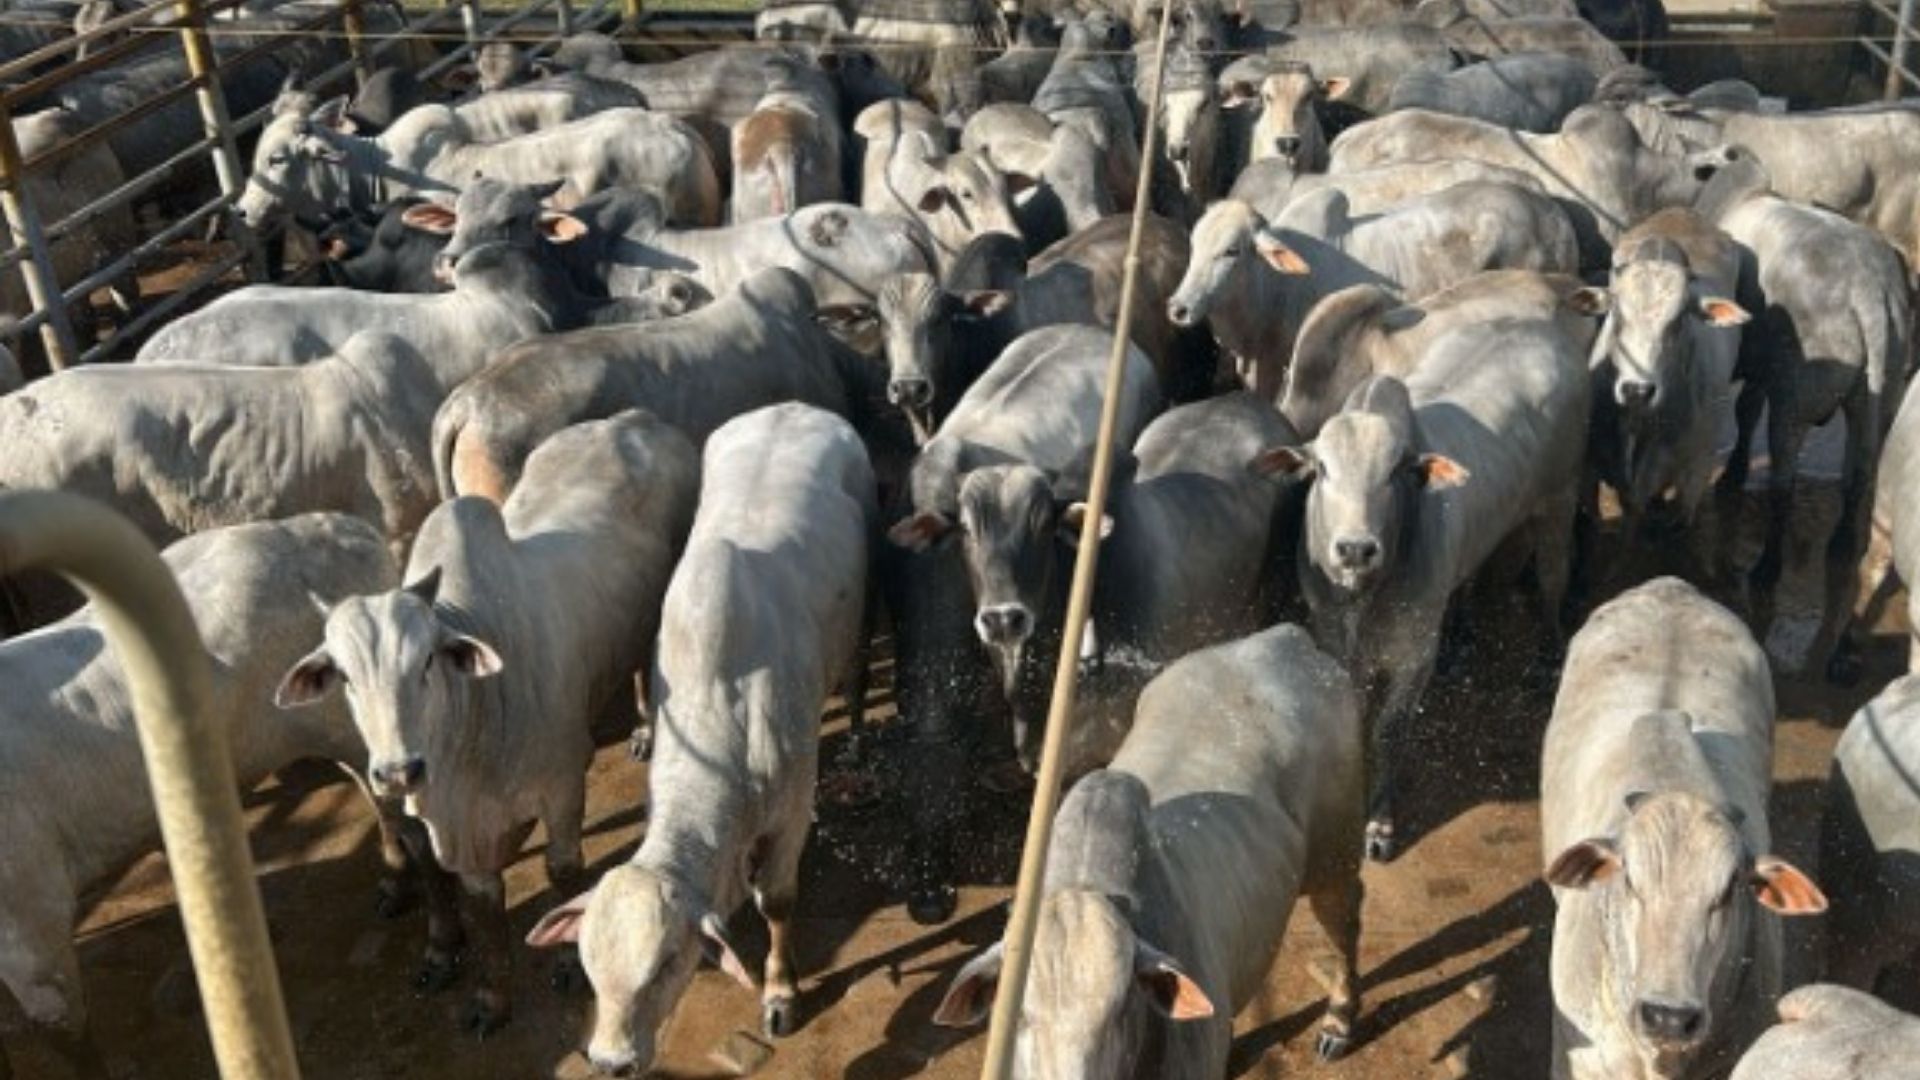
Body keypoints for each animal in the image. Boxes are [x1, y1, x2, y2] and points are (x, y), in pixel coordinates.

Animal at [275, 411, 701, 1036]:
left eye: (427, 661)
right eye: (344, 677)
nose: (399, 772)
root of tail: (637, 419)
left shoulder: (563, 784)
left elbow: (564, 873)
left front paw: (570, 966)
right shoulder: (461, 830)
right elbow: (483, 906)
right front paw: (491, 998)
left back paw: (649, 731)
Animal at [524, 404, 875, 1073]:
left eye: (665, 964)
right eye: (588, 963)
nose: (610, 1061)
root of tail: (792, 407)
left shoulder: (791, 812)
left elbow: (777, 903)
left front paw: (780, 993)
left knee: (860, 676)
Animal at [932, 623, 1366, 1075]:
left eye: (1121, 1007)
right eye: (1016, 1015)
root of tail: (1285, 637)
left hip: (1335, 859)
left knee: (1345, 922)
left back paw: (1338, 1022)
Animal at [1251, 316, 1590, 860]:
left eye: (1395, 472)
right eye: (1321, 469)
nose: (1355, 549)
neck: (1365, 597)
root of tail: (1541, 327)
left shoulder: (1412, 654)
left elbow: (1388, 731)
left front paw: (1378, 824)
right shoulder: (1331, 639)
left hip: (1561, 497)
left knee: (1553, 578)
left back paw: (1547, 657)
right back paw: (1462, 639)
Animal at [1577, 209, 1749, 585]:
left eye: (1680, 319)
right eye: (1616, 313)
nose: (1637, 390)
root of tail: (1680, 212)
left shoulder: (1695, 474)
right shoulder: (1590, 469)